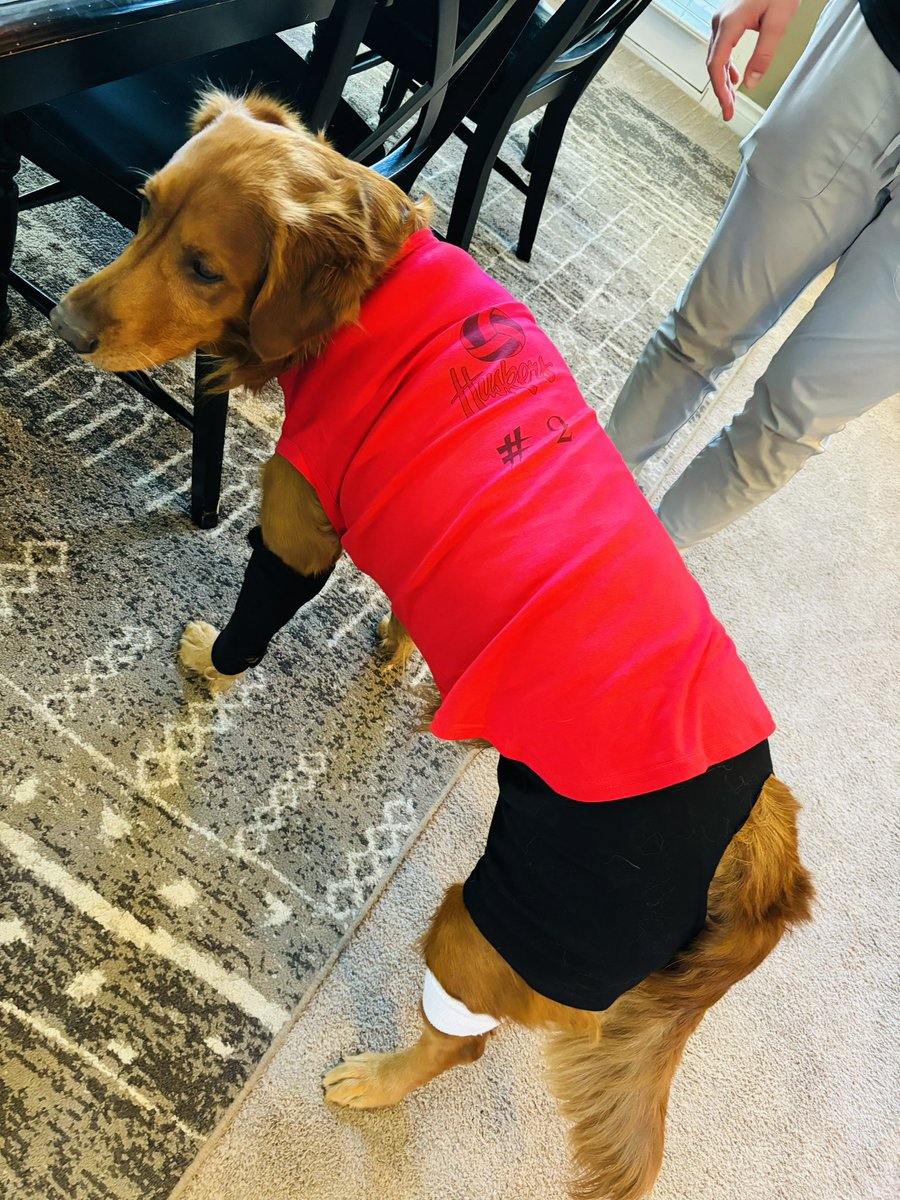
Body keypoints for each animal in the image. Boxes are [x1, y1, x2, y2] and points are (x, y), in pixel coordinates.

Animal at [51, 91, 816, 1200]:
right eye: (144, 207)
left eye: (203, 266)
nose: (64, 327)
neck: (371, 288)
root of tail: (759, 828)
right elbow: (408, 601)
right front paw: (400, 643)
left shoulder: (297, 524)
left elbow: (250, 629)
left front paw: (210, 666)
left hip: (502, 921)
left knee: (467, 1040)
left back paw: (375, 1080)